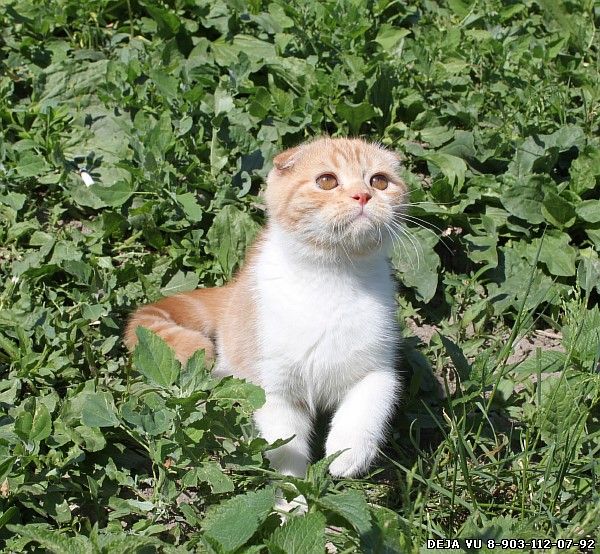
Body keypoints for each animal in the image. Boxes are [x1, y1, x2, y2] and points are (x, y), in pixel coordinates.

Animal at [125, 137, 405, 478]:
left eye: (379, 181)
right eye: (327, 181)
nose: (363, 195)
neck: (333, 278)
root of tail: (234, 290)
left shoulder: (377, 364)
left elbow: (372, 399)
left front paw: (348, 452)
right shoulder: (272, 383)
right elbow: (285, 442)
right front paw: (292, 489)